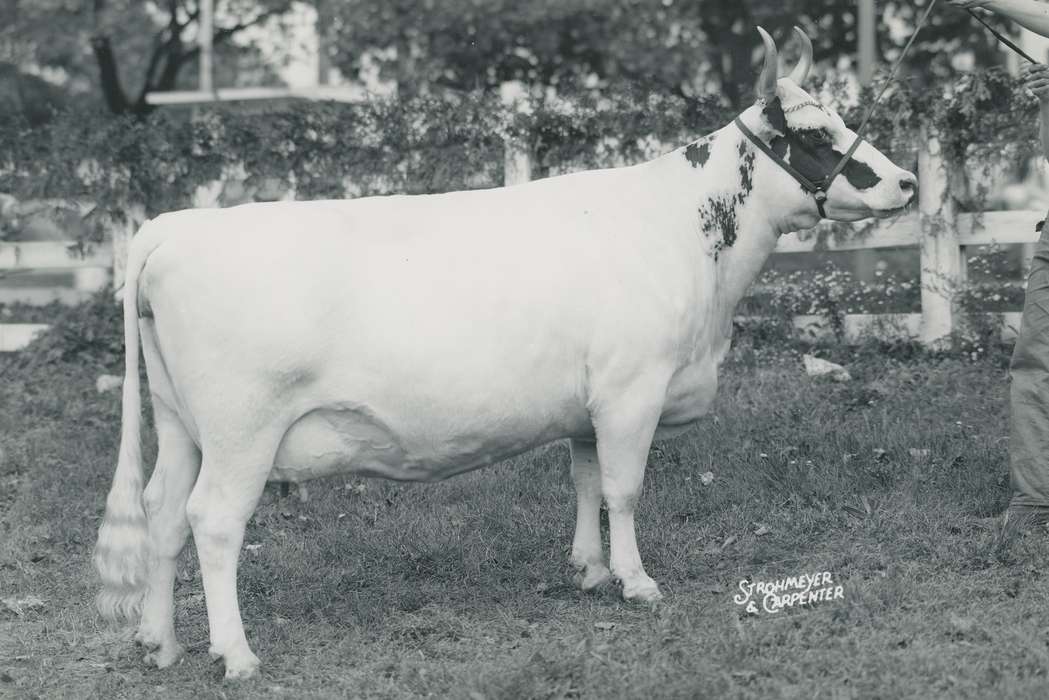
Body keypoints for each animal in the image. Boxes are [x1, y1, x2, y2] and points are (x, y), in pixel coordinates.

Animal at [94, 26, 917, 680]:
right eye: (815, 135)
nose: (906, 181)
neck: (683, 236)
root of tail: (176, 225)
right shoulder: (633, 387)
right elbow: (623, 489)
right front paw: (636, 581)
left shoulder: (588, 402)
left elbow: (583, 480)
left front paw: (589, 569)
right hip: (242, 430)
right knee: (213, 521)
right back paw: (234, 653)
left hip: (180, 423)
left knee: (162, 512)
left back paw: (159, 642)